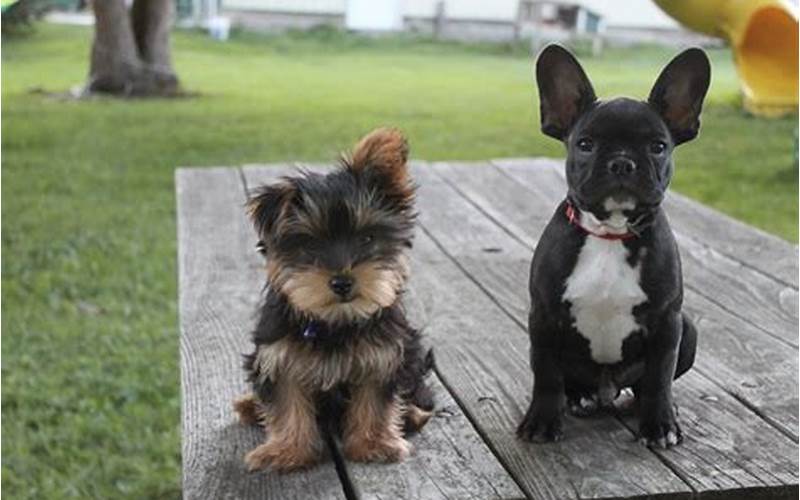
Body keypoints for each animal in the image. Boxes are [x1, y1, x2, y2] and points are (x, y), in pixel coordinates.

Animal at [234, 127, 434, 470]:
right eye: (311, 244)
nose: (342, 282)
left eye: (367, 238)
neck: (334, 321)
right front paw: (286, 450)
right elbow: (286, 400)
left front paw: (373, 443)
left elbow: (375, 399)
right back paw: (250, 405)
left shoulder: (385, 354)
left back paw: (414, 414)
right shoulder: (278, 354)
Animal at [520, 45, 712, 448]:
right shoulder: (543, 318)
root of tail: (607, 390)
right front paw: (542, 421)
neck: (611, 232)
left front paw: (660, 424)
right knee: (568, 381)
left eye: (658, 147)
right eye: (585, 144)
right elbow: (546, 375)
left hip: (688, 328)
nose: (622, 162)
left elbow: (658, 379)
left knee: (645, 385)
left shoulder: (667, 322)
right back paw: (579, 397)